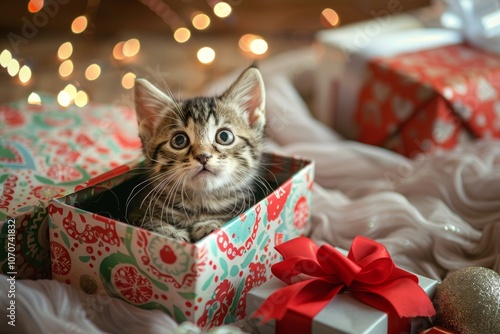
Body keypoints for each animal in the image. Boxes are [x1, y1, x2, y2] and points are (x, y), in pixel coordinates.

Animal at [127, 66, 268, 243]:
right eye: (179, 140)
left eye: (224, 136)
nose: (203, 156)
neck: (200, 205)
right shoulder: (137, 212)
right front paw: (170, 233)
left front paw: (210, 225)